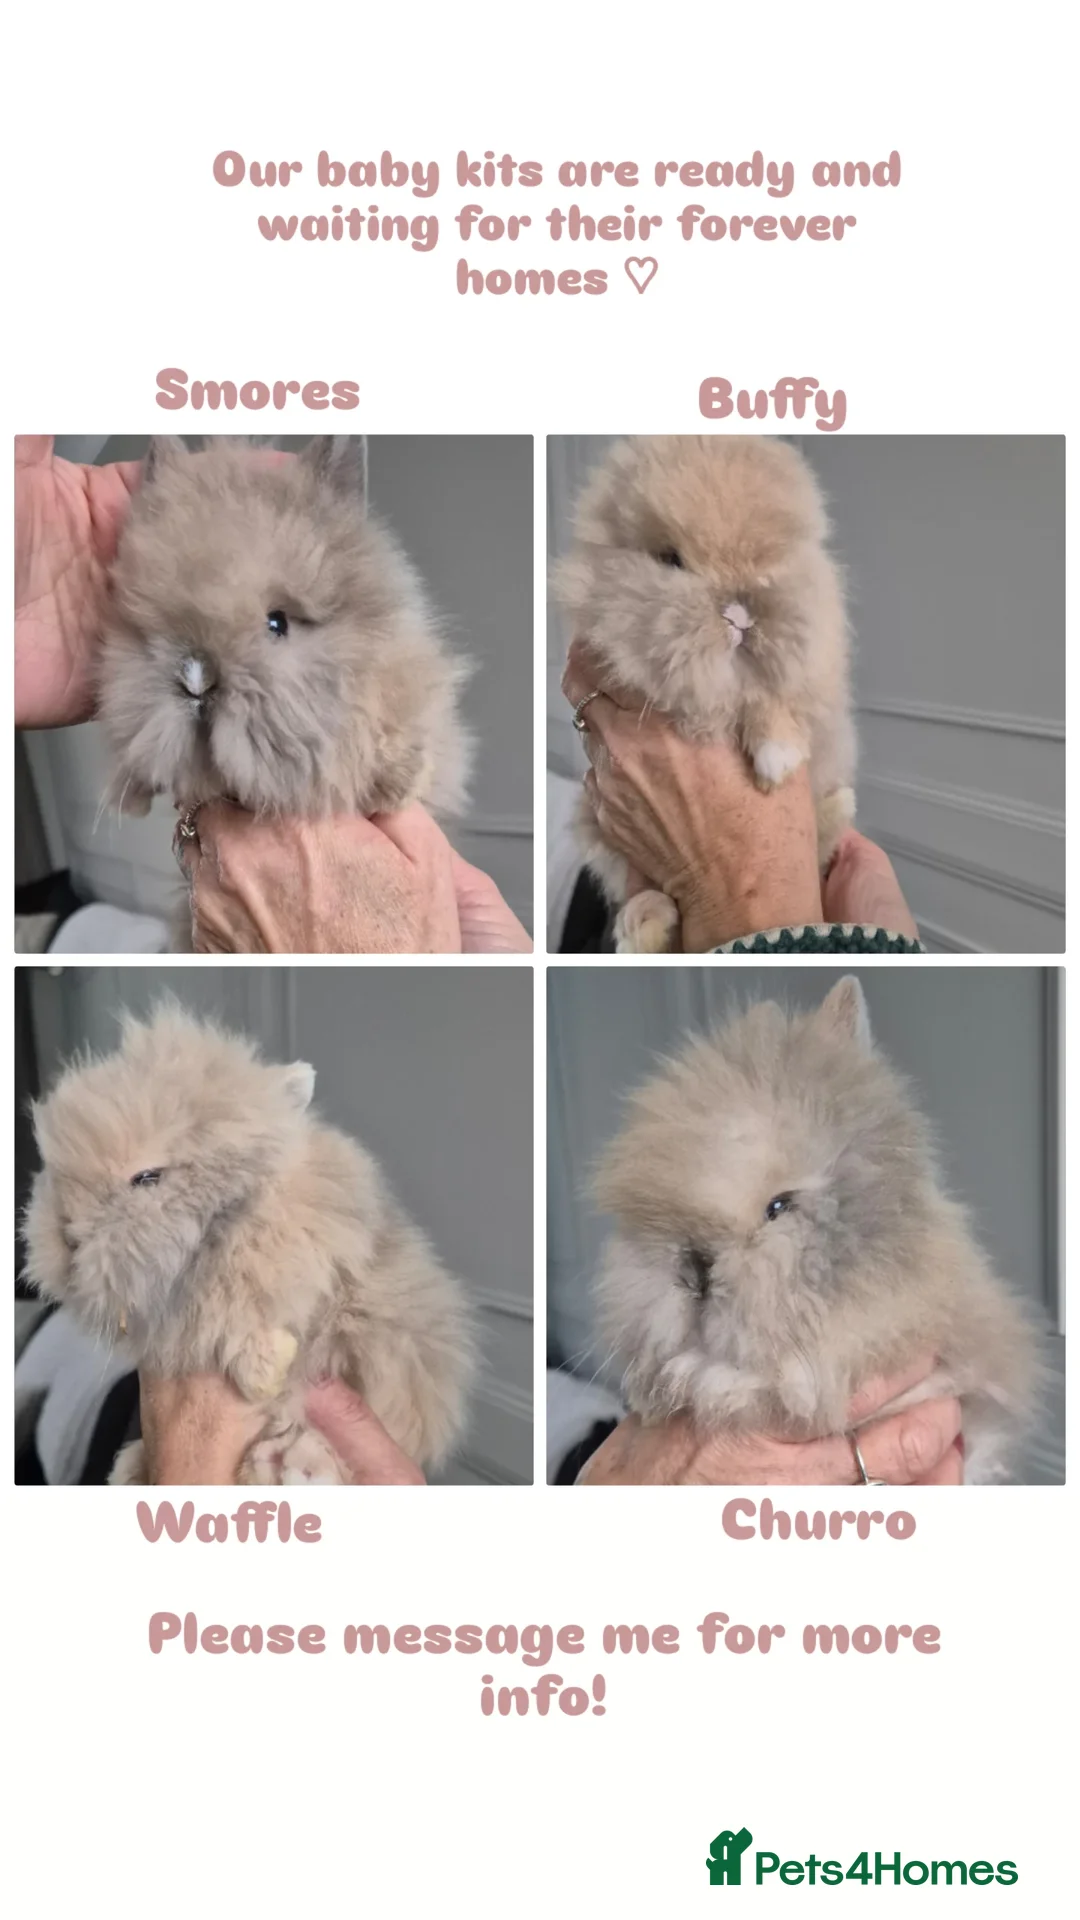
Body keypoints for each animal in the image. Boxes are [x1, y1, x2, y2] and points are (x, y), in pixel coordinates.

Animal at [554, 435, 856, 953]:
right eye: (670, 560)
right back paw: (643, 927)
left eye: (775, 559)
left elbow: (769, 700)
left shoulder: (809, 686)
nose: (740, 615)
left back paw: (838, 806)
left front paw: (776, 762)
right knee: (650, 900)